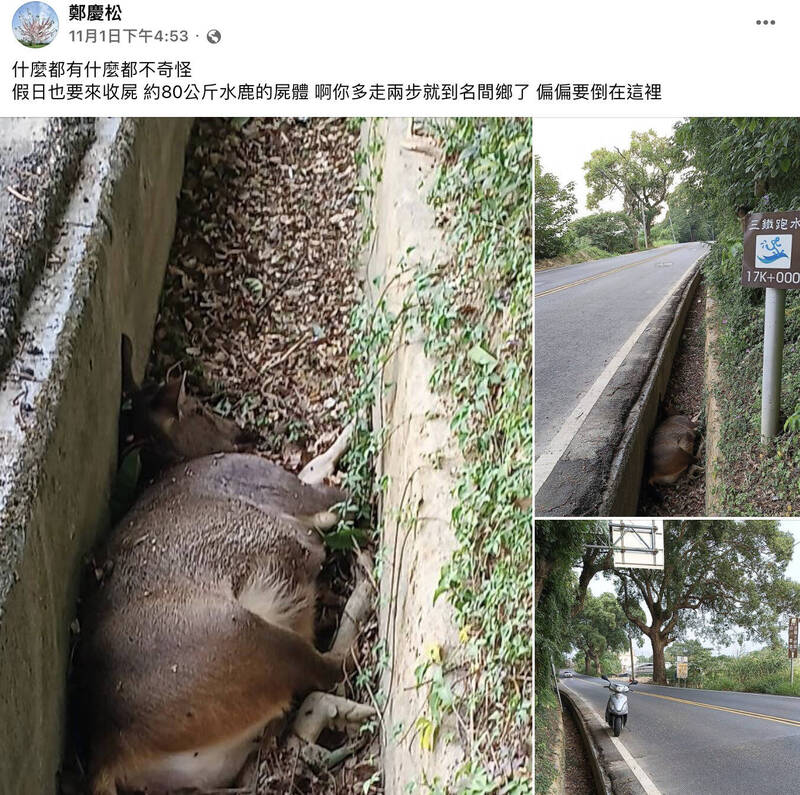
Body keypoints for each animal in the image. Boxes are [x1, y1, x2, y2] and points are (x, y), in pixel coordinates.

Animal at [77, 336, 372, 795]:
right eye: (197, 408)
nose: (241, 431)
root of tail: (110, 754)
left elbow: (314, 467)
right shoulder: (277, 487)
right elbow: (331, 489)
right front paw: (358, 423)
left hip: (219, 761)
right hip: (240, 632)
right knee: (328, 668)